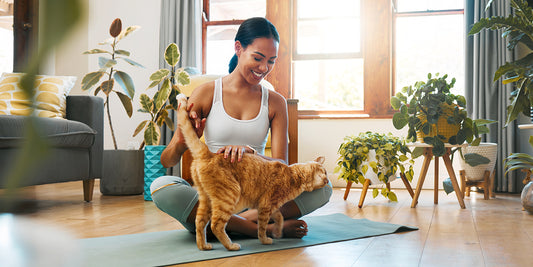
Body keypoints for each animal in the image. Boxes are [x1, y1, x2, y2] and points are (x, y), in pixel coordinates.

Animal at [177, 95, 328, 252]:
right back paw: (231, 245)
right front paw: (265, 239)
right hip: (230, 195)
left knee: (200, 221)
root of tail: (209, 153)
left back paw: (203, 246)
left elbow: (279, 217)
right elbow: (262, 227)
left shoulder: (271, 206)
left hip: (205, 199)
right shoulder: (266, 205)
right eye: (325, 173)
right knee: (216, 224)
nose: (327, 181)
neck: (294, 176)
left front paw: (278, 232)